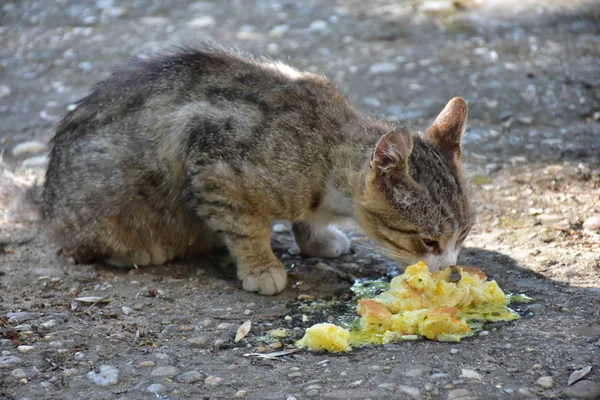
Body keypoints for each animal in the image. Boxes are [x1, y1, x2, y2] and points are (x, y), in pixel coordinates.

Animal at [41, 43, 474, 296]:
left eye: (464, 236)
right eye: (429, 242)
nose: (452, 272)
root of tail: (48, 204)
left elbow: (305, 222)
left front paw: (316, 239)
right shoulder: (211, 163)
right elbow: (246, 228)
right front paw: (261, 266)